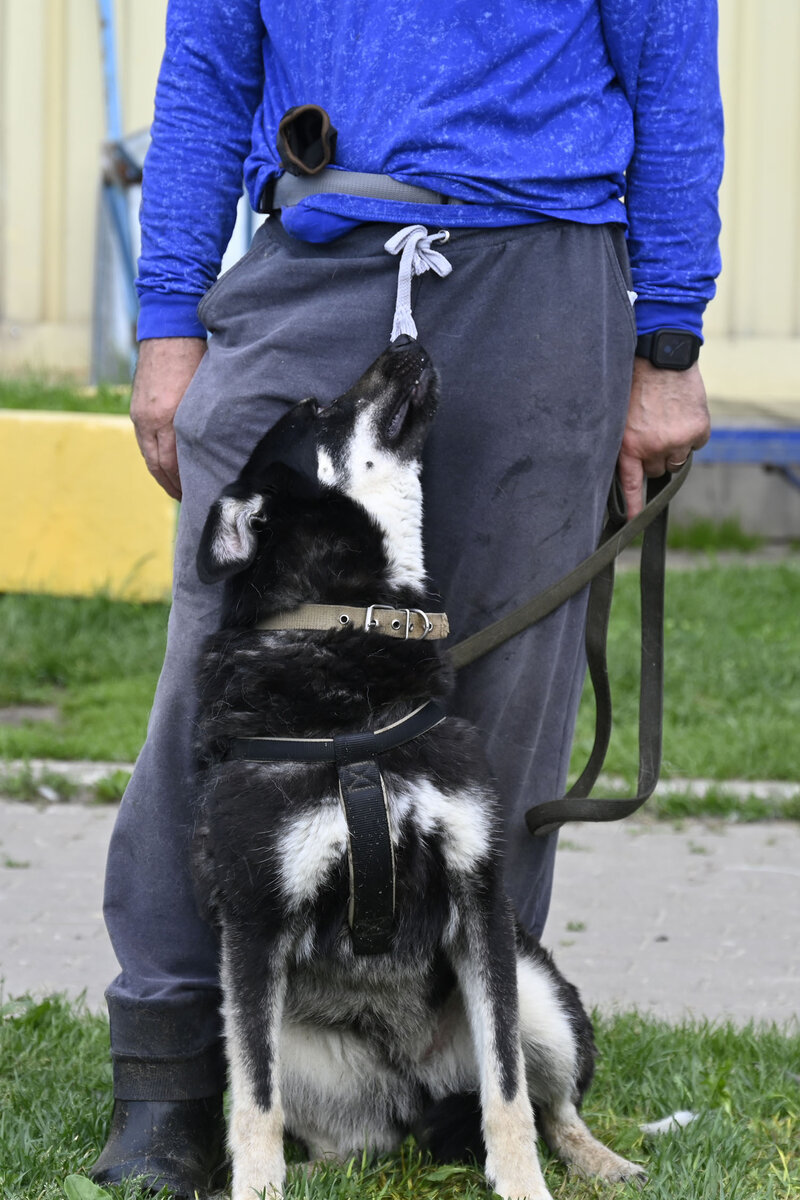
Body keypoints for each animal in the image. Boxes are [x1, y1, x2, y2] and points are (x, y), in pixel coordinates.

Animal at [190, 338, 647, 1200]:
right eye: (313, 411)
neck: (347, 633)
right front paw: (258, 1188)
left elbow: (508, 1091)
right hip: (297, 1050)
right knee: (322, 1126)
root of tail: (413, 1094)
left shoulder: (479, 899)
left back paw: (602, 1162)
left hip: (538, 990)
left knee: (555, 1106)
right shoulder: (255, 917)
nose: (405, 343)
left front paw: (523, 1186)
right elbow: (254, 1103)